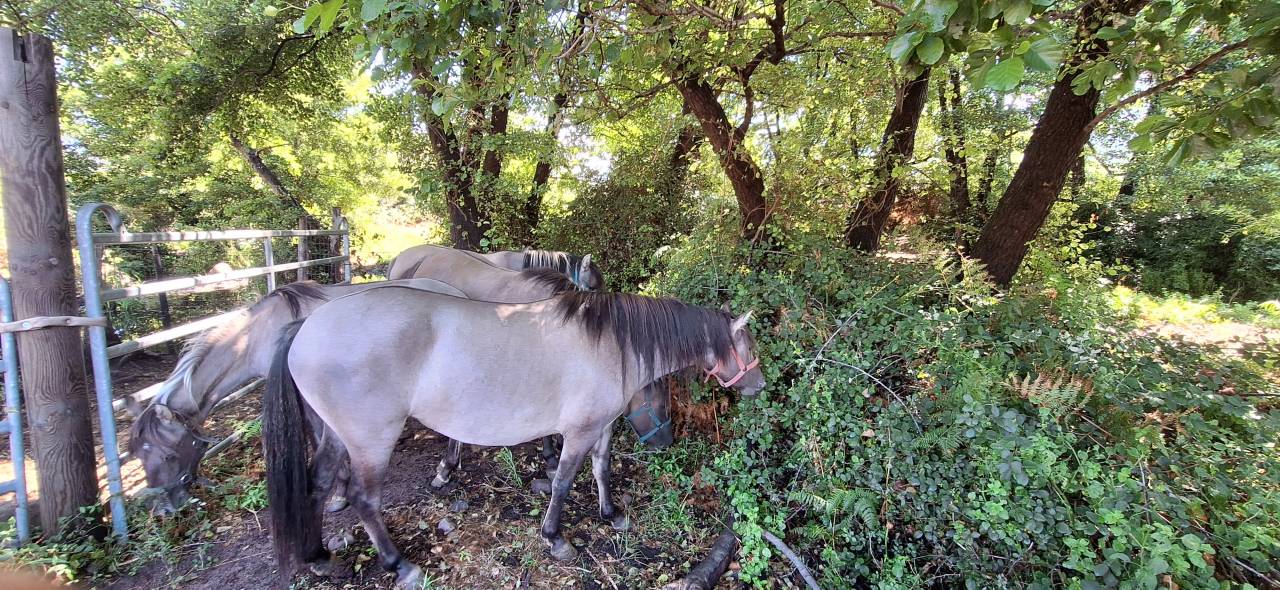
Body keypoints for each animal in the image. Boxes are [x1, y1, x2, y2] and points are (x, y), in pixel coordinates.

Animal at [264, 287, 764, 588]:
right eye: (750, 346)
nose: (759, 386)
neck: (612, 345)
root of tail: (307, 326)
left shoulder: (601, 427)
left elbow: (601, 468)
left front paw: (610, 514)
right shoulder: (579, 432)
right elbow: (563, 482)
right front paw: (555, 537)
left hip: (334, 434)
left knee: (317, 483)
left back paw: (319, 556)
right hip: (371, 441)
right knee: (365, 501)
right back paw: (400, 565)